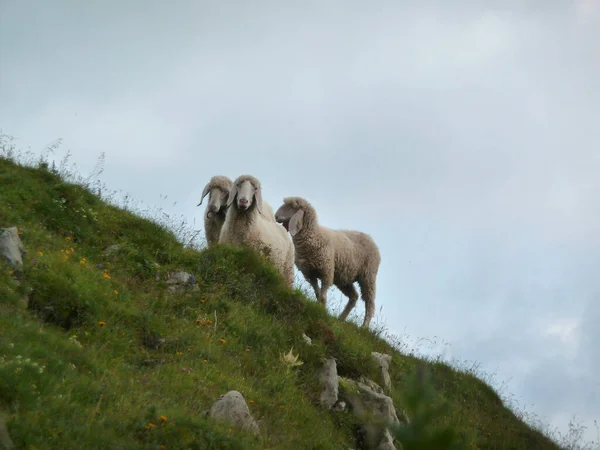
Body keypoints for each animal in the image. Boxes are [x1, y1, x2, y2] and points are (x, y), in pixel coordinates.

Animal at [274, 197, 380, 326]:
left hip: (368, 276)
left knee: (369, 303)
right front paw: (319, 307)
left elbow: (323, 296)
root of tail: (369, 237)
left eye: (291, 207)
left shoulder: (326, 272)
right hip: (343, 278)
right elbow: (317, 294)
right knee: (354, 296)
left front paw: (322, 312)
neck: (314, 236)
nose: (276, 216)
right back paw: (341, 319)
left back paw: (364, 326)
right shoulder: (309, 274)